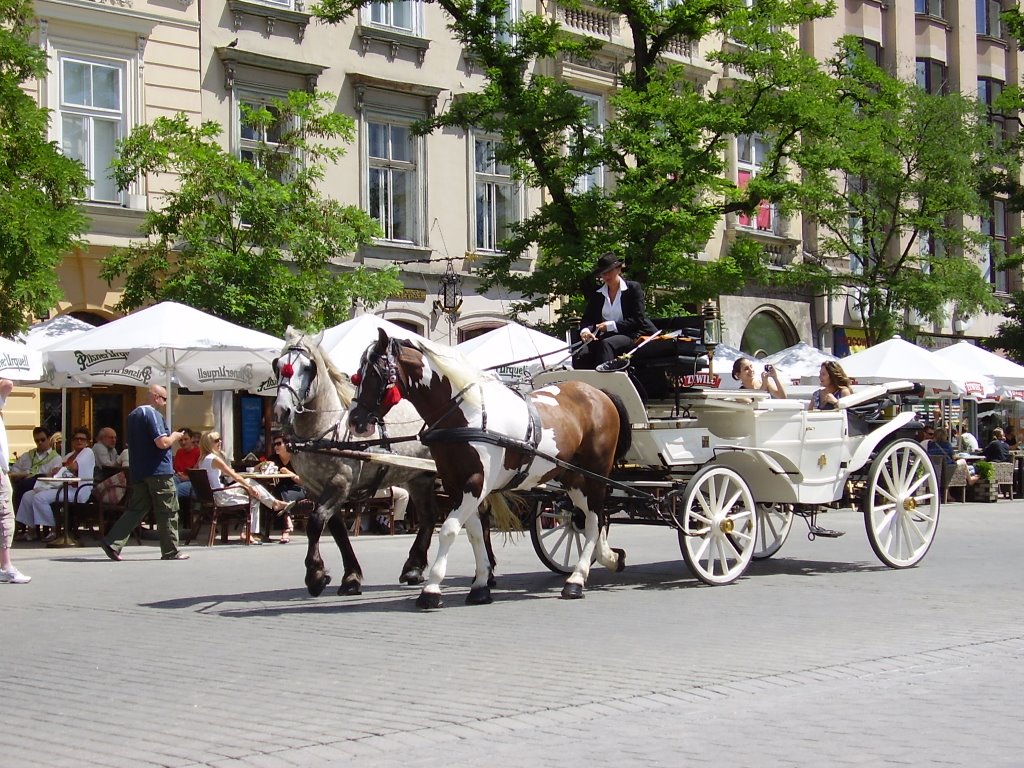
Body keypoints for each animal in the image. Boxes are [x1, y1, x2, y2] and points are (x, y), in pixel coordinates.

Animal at [348, 327, 626, 610]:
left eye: (376, 374)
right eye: (357, 374)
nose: (355, 421)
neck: (467, 412)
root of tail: (599, 392)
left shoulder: (475, 482)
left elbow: (449, 530)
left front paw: (432, 588)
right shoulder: (456, 485)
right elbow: (473, 533)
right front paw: (481, 583)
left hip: (595, 474)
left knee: (594, 519)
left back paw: (577, 579)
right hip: (572, 477)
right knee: (589, 517)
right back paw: (607, 558)